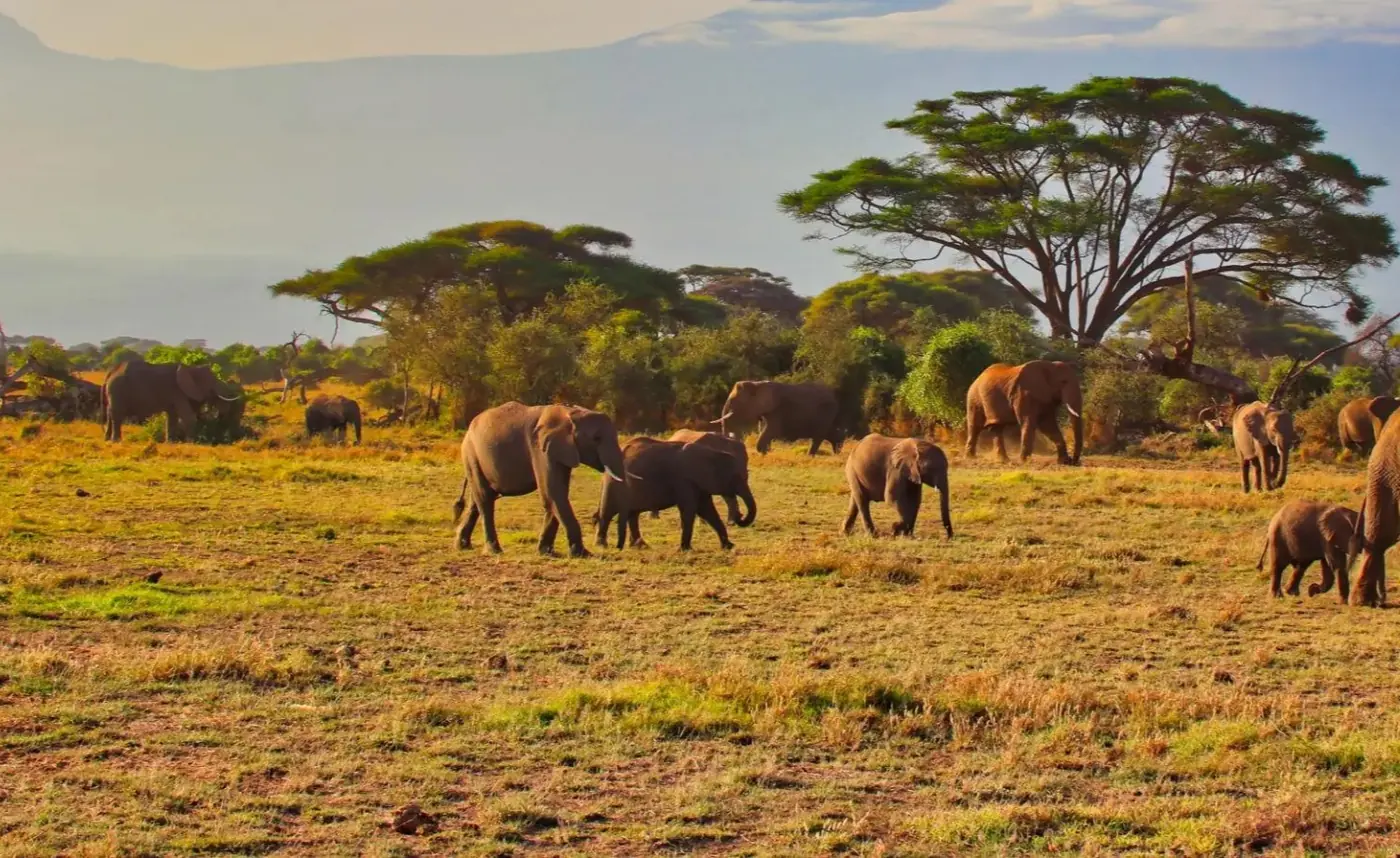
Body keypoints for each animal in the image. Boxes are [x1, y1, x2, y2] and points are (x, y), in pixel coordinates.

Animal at [101, 358, 244, 442]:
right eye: (212, 381)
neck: (191, 368)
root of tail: (111, 372)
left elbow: (172, 417)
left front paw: (171, 442)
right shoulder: (178, 392)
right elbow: (188, 417)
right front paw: (192, 442)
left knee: (110, 413)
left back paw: (107, 439)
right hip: (118, 389)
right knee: (117, 415)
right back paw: (116, 441)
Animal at [451, 402, 626, 557]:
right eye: (596, 438)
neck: (571, 412)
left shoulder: (560, 451)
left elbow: (556, 494)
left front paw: (546, 553)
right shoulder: (540, 449)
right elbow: (553, 494)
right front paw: (583, 554)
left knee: (476, 501)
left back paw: (463, 546)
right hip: (471, 454)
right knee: (485, 499)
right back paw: (494, 551)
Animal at [594, 436, 752, 551]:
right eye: (735, 477)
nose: (739, 517)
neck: (710, 453)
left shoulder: (698, 483)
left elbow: (708, 510)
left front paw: (728, 546)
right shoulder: (683, 481)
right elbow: (690, 510)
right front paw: (685, 550)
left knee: (633, 513)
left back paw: (640, 546)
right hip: (612, 482)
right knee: (608, 512)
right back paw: (602, 545)